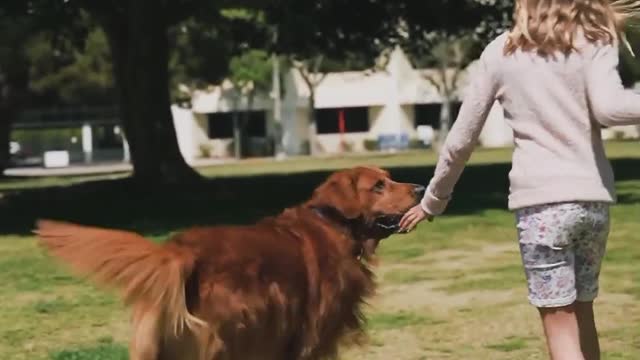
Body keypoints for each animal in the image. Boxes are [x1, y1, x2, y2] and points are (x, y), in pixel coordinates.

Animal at [35, 167, 424, 360]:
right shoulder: (308, 339)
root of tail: (180, 251)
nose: (422, 189)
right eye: (378, 186)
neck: (333, 225)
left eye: (389, 178)